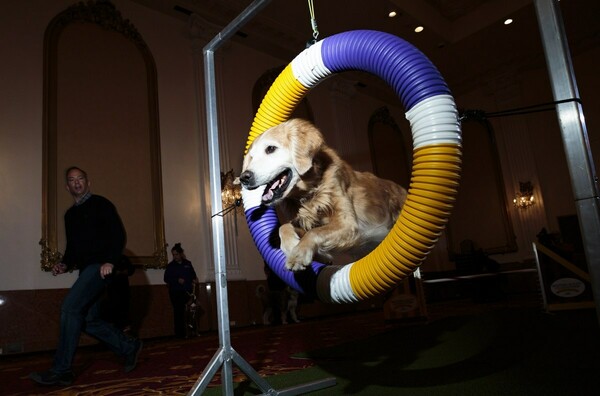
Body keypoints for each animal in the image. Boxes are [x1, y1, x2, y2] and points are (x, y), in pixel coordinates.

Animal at [239, 119, 408, 270]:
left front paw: (299, 254)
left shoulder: (347, 224)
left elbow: (314, 232)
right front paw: (292, 245)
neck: (310, 194)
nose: (243, 178)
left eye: (270, 149)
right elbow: (285, 226)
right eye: (251, 157)